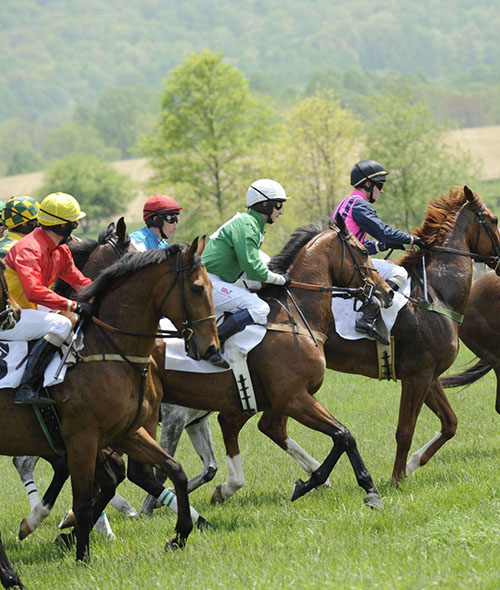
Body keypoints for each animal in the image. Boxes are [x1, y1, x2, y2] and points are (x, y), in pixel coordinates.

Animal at [0, 239, 219, 588]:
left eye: (212, 286)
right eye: (197, 288)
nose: (211, 348)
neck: (107, 350)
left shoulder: (127, 432)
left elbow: (174, 470)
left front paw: (179, 535)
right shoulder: (83, 439)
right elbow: (83, 500)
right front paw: (81, 555)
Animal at [148, 216, 394, 508]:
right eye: (364, 251)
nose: (388, 292)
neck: (295, 316)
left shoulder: (274, 400)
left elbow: (275, 430)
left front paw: (307, 482)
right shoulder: (294, 398)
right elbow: (344, 435)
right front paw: (368, 489)